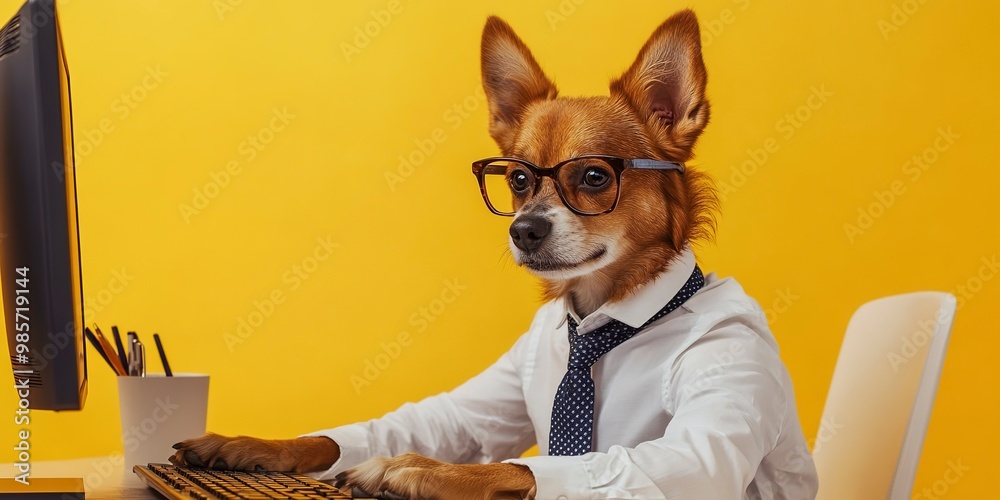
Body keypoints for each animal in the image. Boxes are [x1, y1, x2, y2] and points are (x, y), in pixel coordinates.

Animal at [168, 8, 816, 500]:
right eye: (519, 180)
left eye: (594, 177)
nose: (524, 229)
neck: (604, 313)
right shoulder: (473, 401)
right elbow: (373, 429)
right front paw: (240, 443)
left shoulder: (715, 389)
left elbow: (521, 465)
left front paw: (412, 468)